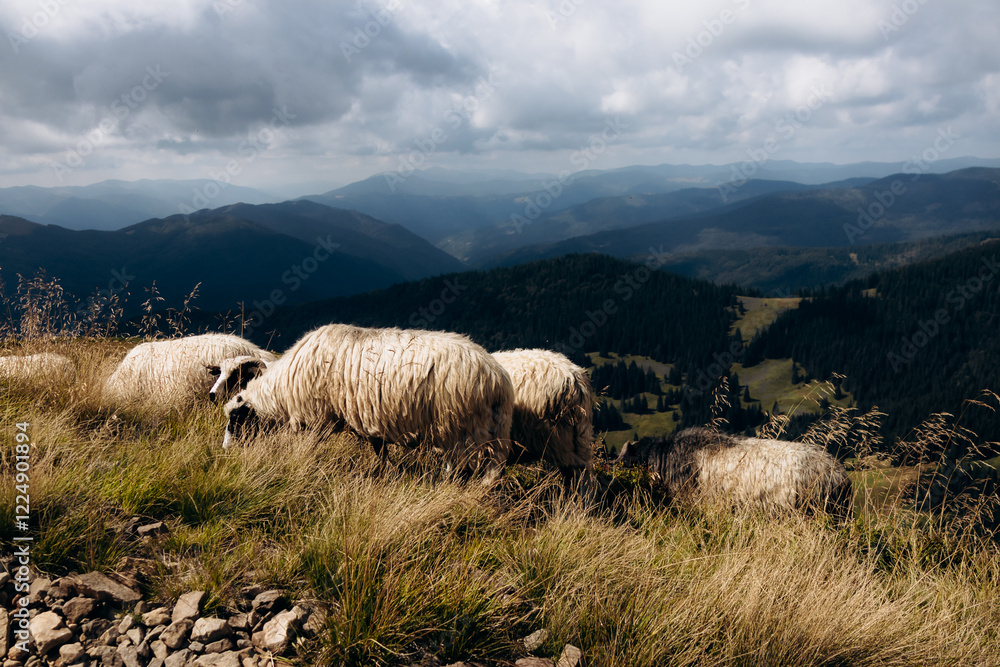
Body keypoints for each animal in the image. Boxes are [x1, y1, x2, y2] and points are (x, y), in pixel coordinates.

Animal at [223, 324, 514, 481]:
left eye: (235, 418)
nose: (226, 452)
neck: (283, 389)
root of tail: (499, 379)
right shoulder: (371, 420)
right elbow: (379, 451)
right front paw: (387, 473)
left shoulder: (319, 417)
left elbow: (313, 446)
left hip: (460, 426)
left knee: (468, 466)